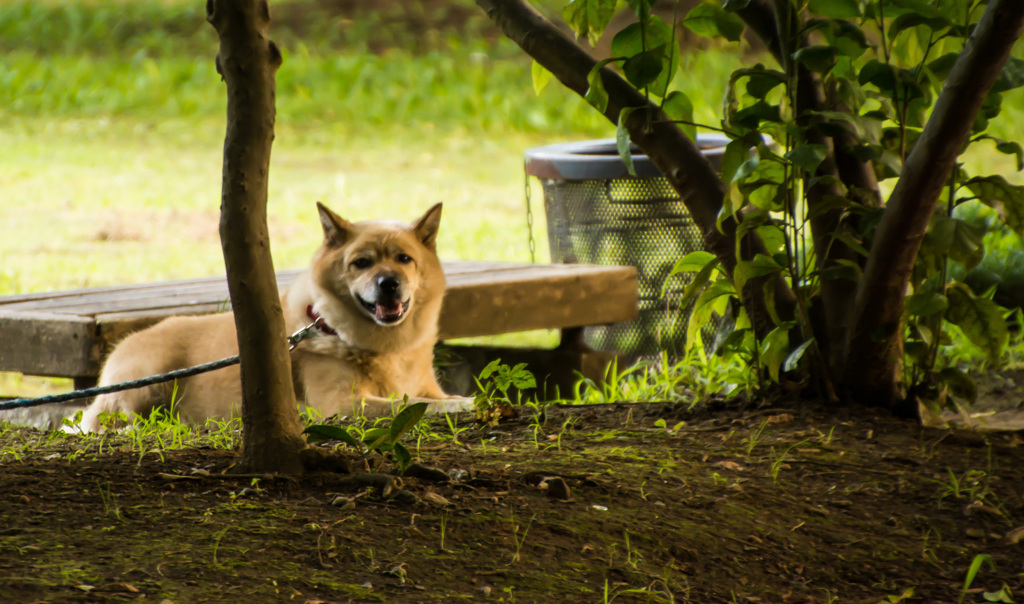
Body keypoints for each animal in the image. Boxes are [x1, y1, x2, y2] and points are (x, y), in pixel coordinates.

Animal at [74, 201, 468, 434]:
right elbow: (412, 404)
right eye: (362, 262)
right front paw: (464, 404)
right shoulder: (340, 403)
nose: (389, 284)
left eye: (404, 259)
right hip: (150, 381)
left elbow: (427, 397)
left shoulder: (425, 385)